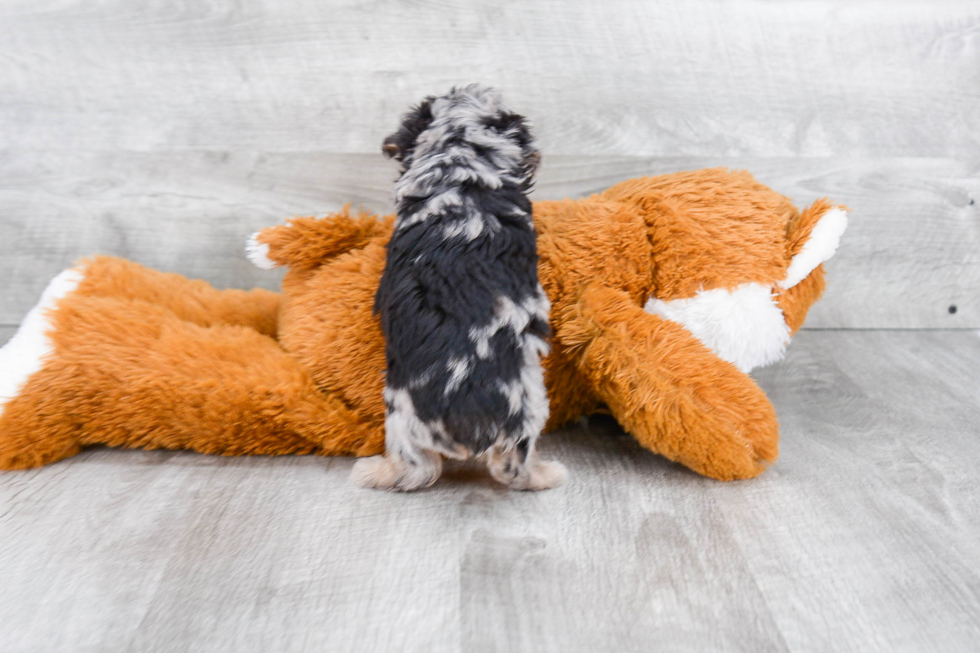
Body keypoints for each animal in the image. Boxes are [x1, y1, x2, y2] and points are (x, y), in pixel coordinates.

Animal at [350, 86, 568, 492]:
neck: (460, 160)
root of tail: (470, 410)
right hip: (528, 405)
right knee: (507, 467)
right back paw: (546, 474)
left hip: (402, 419)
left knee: (419, 469)